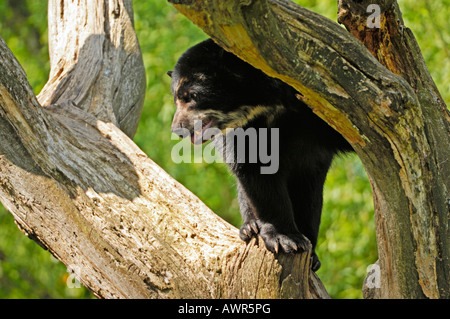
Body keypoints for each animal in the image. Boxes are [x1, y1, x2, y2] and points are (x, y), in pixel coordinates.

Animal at [167, 38, 354, 272]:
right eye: (176, 99)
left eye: (193, 95)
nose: (178, 129)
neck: (267, 103)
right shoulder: (246, 130)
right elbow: (254, 166)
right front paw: (286, 239)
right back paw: (250, 227)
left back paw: (313, 256)